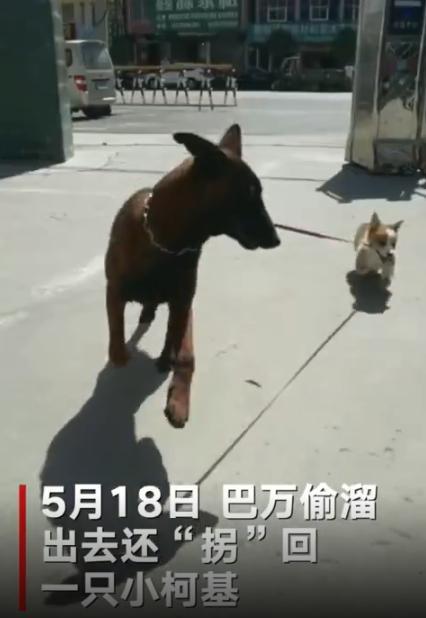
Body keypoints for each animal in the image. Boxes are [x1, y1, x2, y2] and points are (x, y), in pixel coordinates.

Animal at [105, 124, 280, 429]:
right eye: (249, 195)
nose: (276, 239)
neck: (167, 244)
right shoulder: (114, 289)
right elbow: (116, 323)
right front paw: (119, 353)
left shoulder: (183, 304)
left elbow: (179, 347)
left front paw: (174, 381)